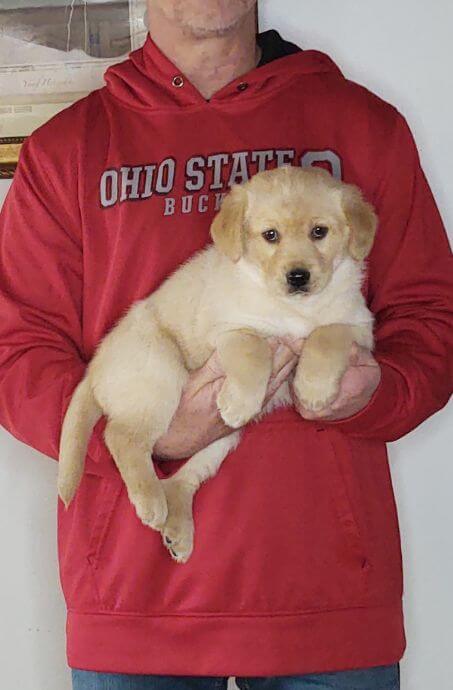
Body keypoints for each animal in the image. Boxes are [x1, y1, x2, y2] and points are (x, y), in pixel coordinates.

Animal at [60, 165, 378, 560]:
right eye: (270, 235)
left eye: (319, 232)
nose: (297, 277)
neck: (296, 309)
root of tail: (95, 370)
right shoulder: (228, 327)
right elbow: (253, 351)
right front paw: (240, 402)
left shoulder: (360, 327)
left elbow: (327, 335)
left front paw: (313, 389)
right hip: (160, 374)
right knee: (121, 437)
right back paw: (150, 502)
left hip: (221, 440)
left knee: (183, 479)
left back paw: (177, 527)